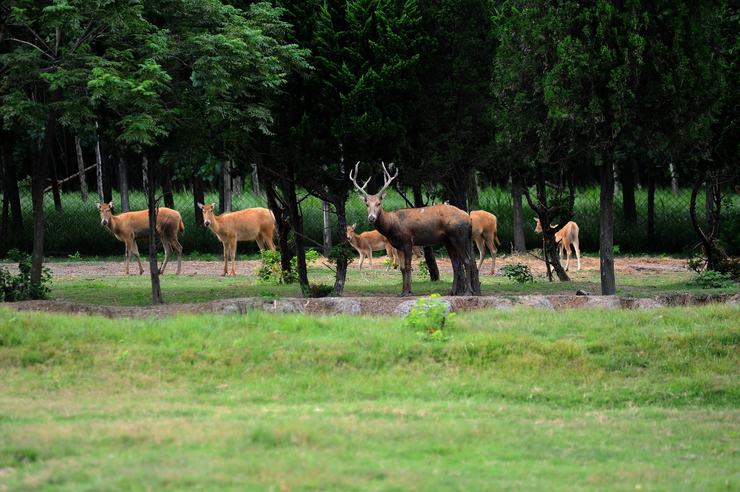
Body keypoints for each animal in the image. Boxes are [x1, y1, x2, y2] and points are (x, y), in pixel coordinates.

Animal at [348, 161, 480, 296]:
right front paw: (403, 291)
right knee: (456, 264)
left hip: (459, 236)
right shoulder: (398, 245)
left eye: (378, 203)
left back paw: (468, 292)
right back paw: (452, 291)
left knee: (467, 260)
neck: (391, 227)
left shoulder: (407, 241)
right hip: (448, 241)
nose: (371, 218)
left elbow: (407, 266)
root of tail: (469, 219)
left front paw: (407, 292)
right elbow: (402, 268)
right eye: (366, 204)